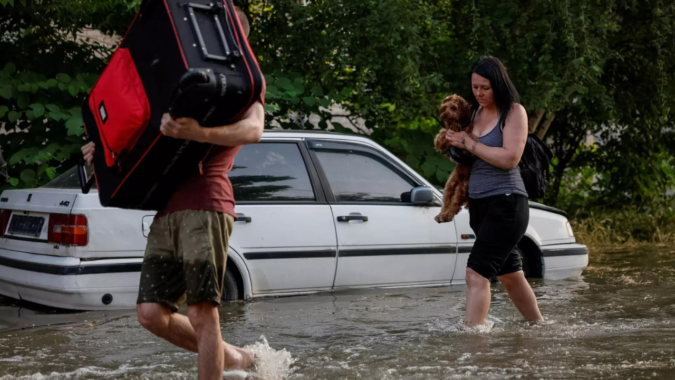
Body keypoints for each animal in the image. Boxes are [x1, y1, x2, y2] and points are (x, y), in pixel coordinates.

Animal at [434, 95, 476, 224]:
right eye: (445, 107)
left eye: (454, 107)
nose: (444, 113)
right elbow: (443, 133)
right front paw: (440, 140)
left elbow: (468, 135)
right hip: (450, 185)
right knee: (447, 203)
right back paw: (442, 215)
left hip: (462, 188)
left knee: (455, 205)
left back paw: (446, 215)